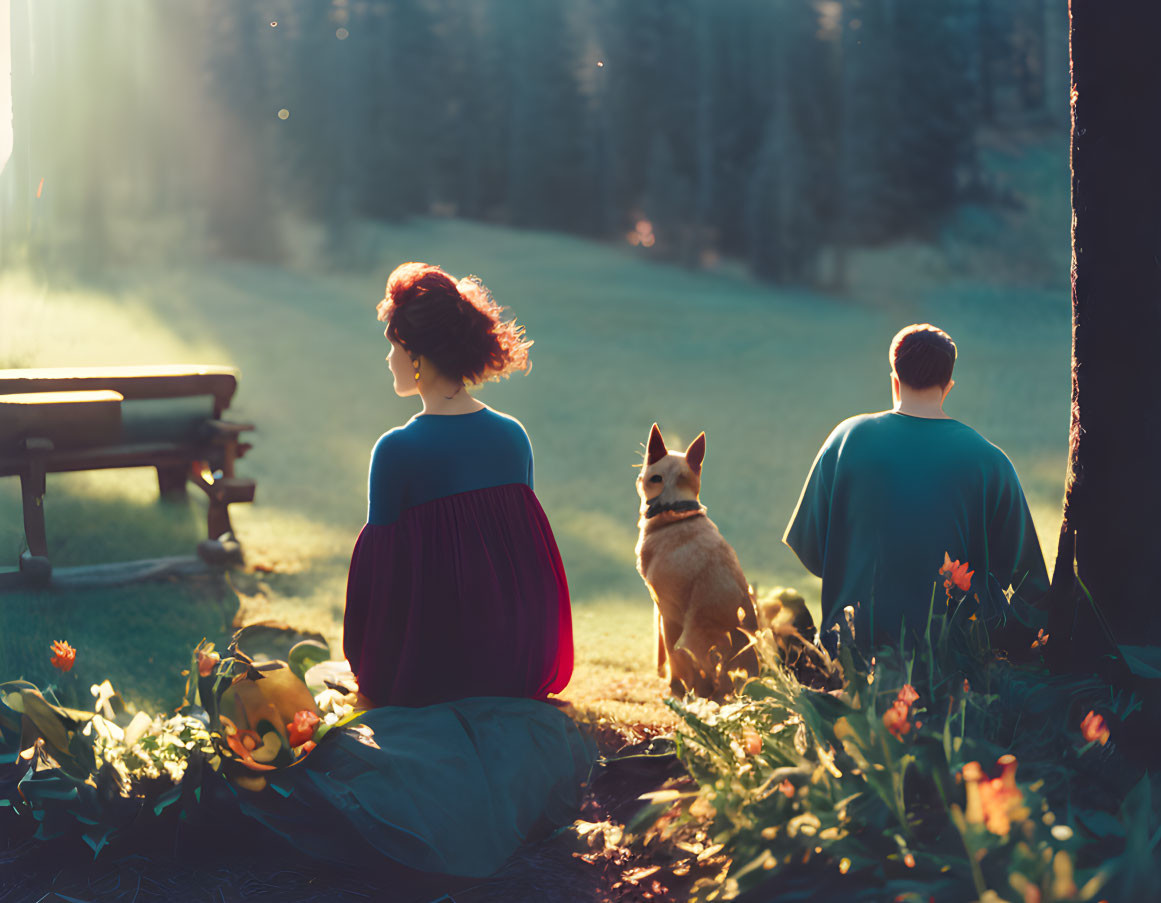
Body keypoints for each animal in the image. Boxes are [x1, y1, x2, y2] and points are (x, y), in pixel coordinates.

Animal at [636, 422, 761, 696]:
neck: (673, 508)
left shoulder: (665, 610)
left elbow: (667, 652)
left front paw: (674, 687)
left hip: (692, 639)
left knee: (703, 672)